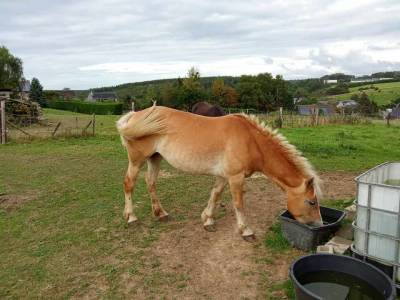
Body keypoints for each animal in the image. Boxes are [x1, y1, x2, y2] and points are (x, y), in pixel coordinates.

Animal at [117, 103, 324, 241]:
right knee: (129, 183)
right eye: (312, 202)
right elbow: (238, 204)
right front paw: (246, 231)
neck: (251, 140)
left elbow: (215, 195)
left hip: (155, 158)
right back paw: (131, 217)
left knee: (150, 181)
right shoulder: (236, 178)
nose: (320, 225)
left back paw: (160, 213)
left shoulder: (224, 176)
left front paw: (207, 220)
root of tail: (134, 116)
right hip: (137, 160)